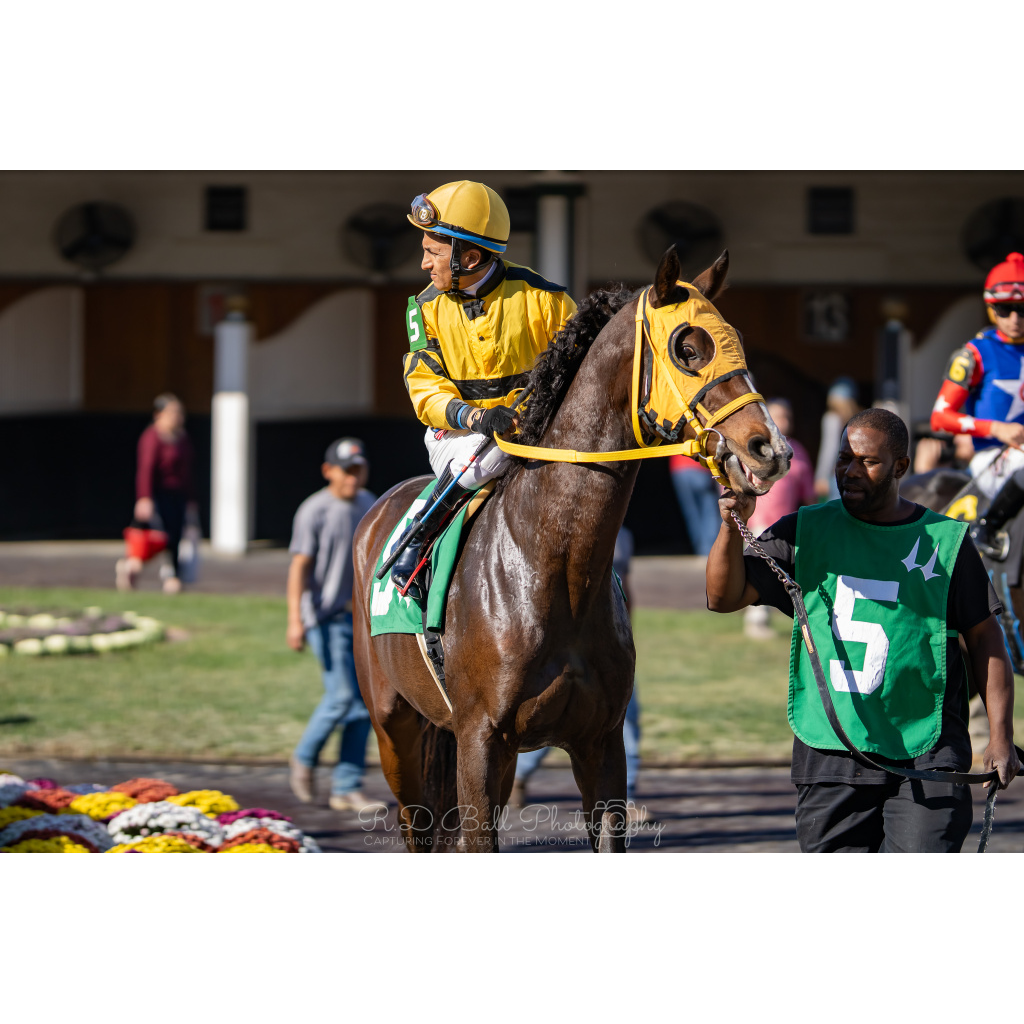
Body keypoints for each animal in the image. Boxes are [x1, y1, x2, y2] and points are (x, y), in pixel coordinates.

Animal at [351, 247, 793, 852]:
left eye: (738, 341)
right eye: (687, 347)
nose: (769, 448)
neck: (554, 567)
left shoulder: (600, 742)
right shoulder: (479, 740)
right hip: (394, 727)